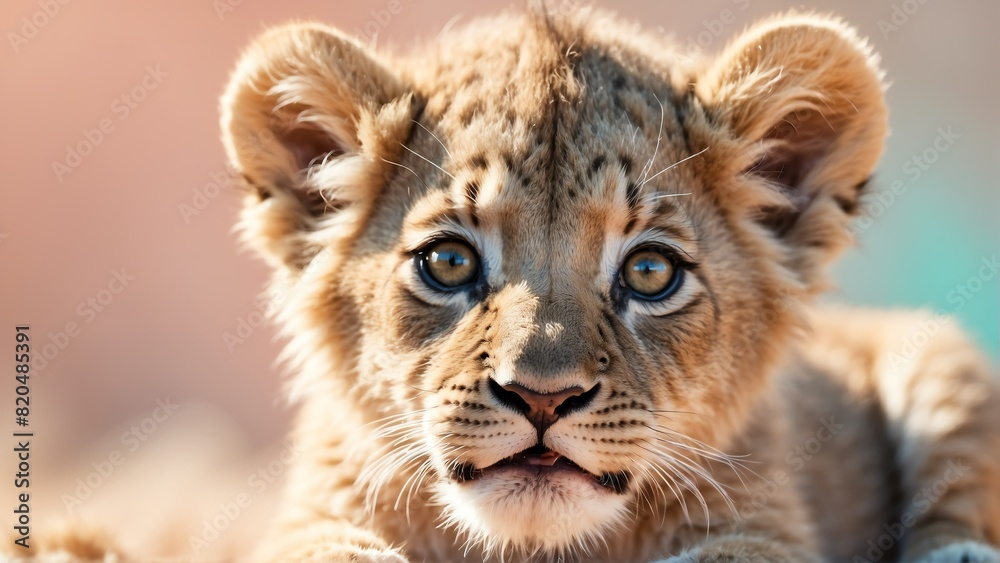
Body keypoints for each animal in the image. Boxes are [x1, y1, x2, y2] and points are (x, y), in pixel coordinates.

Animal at [212, 6, 1000, 563]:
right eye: (450, 263)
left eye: (649, 272)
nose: (542, 397)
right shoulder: (313, 514)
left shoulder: (765, 522)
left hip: (942, 363)